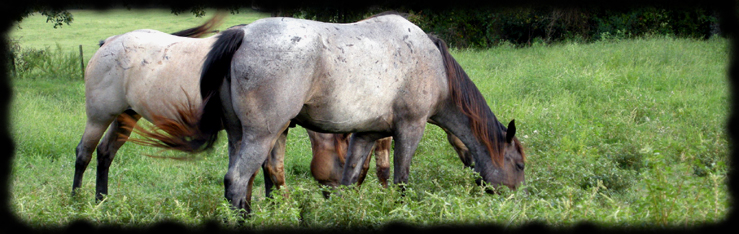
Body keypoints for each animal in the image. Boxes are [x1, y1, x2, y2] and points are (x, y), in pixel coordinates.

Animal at [132, 12, 528, 214]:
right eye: (519, 164)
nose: (516, 198)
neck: (433, 65)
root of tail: (242, 32)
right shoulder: (410, 128)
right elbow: (401, 180)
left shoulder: (366, 135)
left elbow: (350, 181)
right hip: (262, 134)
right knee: (237, 181)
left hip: (239, 135)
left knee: (249, 179)